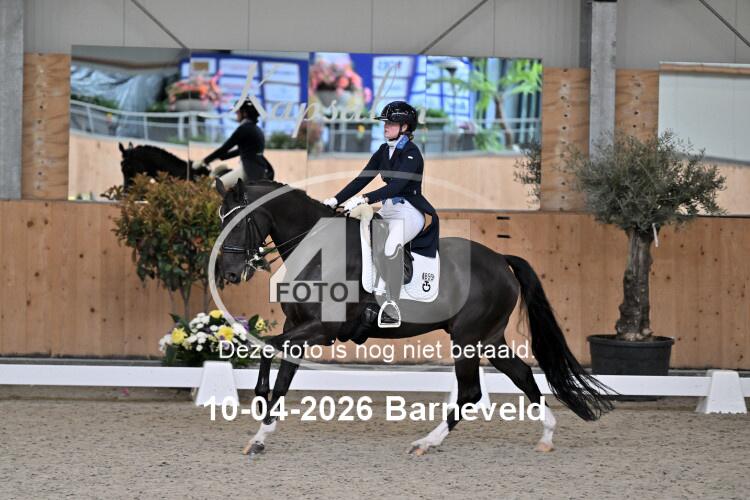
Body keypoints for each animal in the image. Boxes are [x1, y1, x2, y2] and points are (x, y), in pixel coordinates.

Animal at [215, 177, 614, 457]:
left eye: (239, 221)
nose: (230, 274)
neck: (318, 251)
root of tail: (502, 260)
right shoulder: (297, 327)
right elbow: (281, 374)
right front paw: (260, 433)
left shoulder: (322, 330)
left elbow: (268, 347)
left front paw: (259, 402)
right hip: (489, 338)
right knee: (522, 377)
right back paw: (546, 436)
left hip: (467, 339)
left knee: (471, 392)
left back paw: (426, 443)